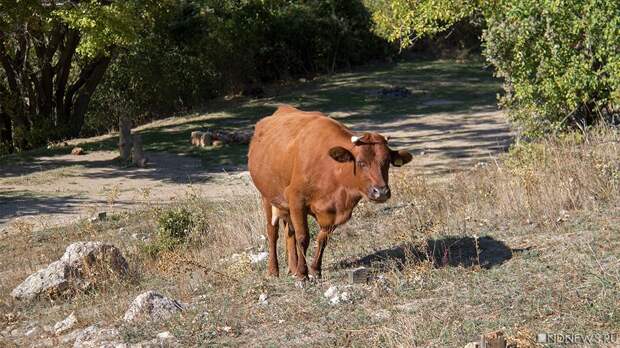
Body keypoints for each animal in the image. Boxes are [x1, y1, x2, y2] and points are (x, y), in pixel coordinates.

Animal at [247, 105, 412, 280]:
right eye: (361, 162)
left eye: (386, 162)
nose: (381, 192)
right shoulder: (296, 199)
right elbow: (303, 237)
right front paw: (302, 275)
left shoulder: (333, 213)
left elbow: (322, 239)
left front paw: (315, 270)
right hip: (267, 196)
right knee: (272, 232)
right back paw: (274, 270)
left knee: (289, 231)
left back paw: (292, 267)